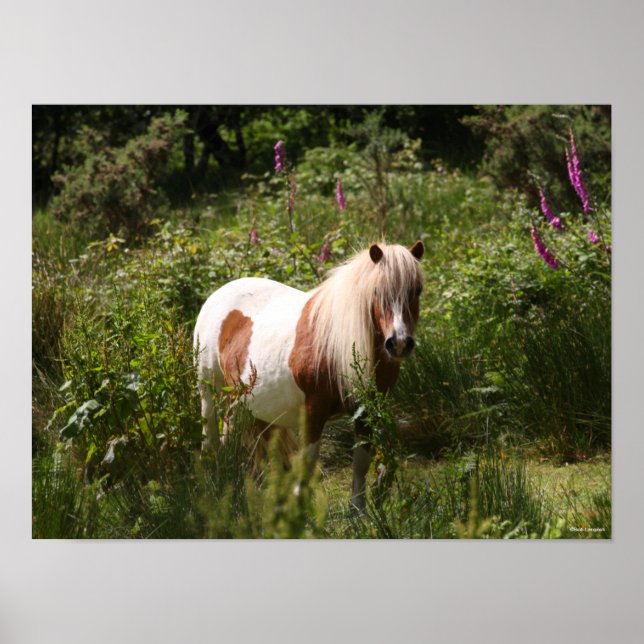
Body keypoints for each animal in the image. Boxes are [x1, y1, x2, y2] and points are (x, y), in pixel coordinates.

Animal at [193, 240, 424, 510]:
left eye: (417, 290)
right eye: (377, 291)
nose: (399, 344)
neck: (337, 342)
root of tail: (217, 295)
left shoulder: (366, 411)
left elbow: (360, 461)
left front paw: (359, 511)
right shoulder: (315, 410)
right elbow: (308, 461)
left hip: (248, 403)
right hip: (210, 391)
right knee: (213, 436)